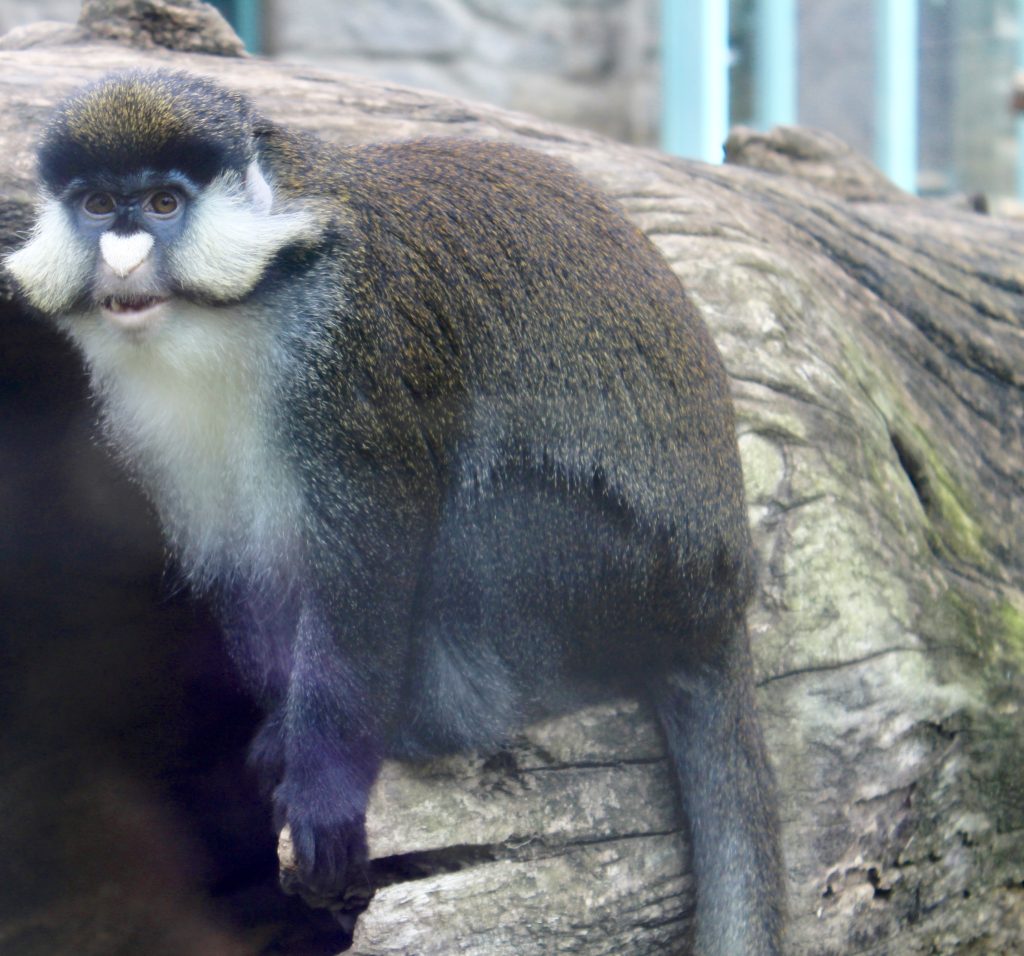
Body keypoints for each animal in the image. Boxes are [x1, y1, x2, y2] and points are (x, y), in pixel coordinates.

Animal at [6, 71, 782, 953]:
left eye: (165, 205)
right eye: (99, 205)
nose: (123, 254)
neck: (254, 301)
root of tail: (726, 599)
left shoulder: (354, 351)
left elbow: (372, 558)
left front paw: (325, 793)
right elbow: (252, 569)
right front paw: (283, 737)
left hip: (632, 572)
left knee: (473, 527)